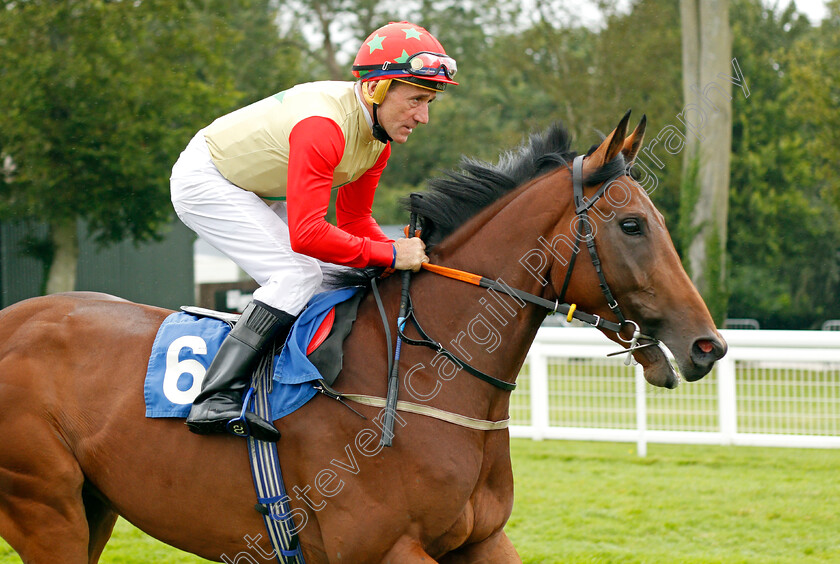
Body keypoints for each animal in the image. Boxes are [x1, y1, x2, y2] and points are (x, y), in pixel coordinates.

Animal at [0, 112, 720, 560]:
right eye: (631, 224)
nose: (707, 345)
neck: (423, 379)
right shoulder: (379, 546)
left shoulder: (480, 540)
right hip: (44, 505)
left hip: (93, 506)